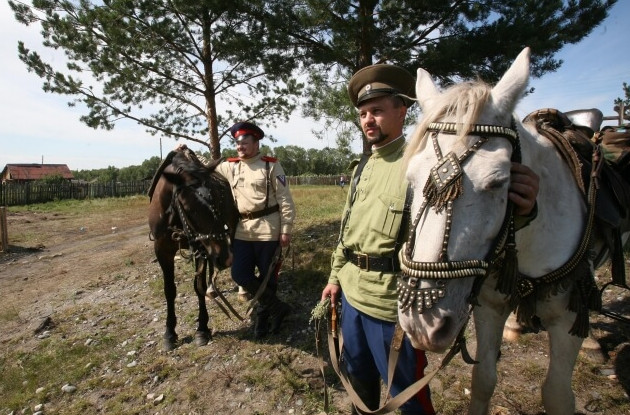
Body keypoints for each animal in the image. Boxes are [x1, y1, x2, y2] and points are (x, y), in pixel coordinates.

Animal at [148, 150, 239, 352]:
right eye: (189, 208)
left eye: (218, 198)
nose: (226, 258)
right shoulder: (162, 251)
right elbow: (169, 290)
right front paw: (170, 333)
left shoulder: (202, 248)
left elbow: (199, 287)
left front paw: (202, 329)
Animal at [398, 47, 608, 414]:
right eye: (411, 179)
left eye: (498, 182)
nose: (423, 325)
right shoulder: (489, 307)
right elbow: (482, 380)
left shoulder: (566, 321)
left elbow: (556, 394)